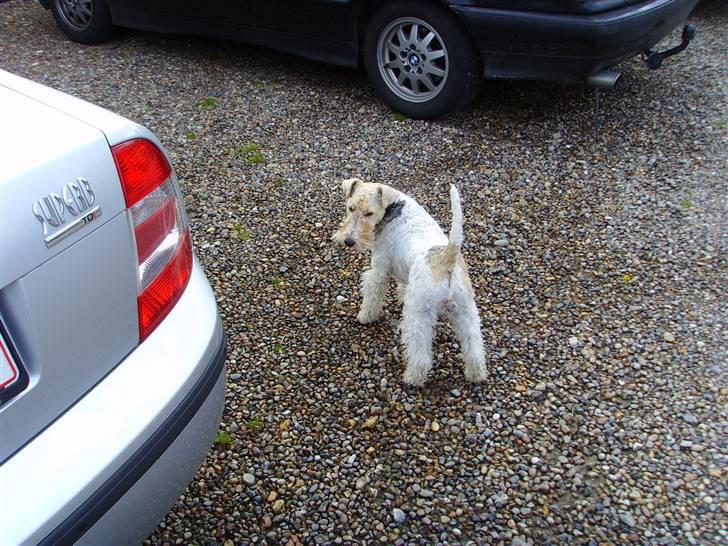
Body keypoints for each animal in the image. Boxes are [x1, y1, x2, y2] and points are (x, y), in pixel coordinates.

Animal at [332, 176, 486, 384]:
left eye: (369, 213)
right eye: (350, 208)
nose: (349, 241)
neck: (394, 206)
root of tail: (446, 259)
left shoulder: (379, 269)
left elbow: (372, 295)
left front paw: (365, 316)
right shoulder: (405, 271)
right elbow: (403, 287)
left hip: (419, 314)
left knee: (421, 354)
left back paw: (412, 378)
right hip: (466, 311)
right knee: (474, 348)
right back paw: (476, 375)